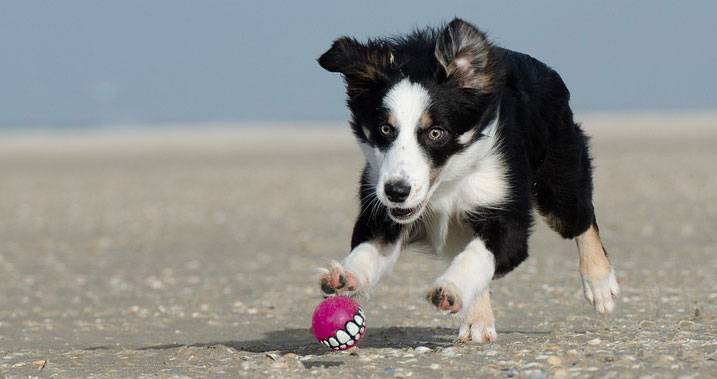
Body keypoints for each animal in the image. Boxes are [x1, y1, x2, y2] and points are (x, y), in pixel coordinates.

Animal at [316, 18, 620, 344]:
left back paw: (600, 284)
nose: (397, 192)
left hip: (558, 180)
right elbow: (369, 246)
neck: (447, 182)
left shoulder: (504, 205)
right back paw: (477, 321)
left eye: (436, 132)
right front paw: (346, 275)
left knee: (581, 218)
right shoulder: (380, 201)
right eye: (385, 129)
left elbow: (478, 255)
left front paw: (450, 288)